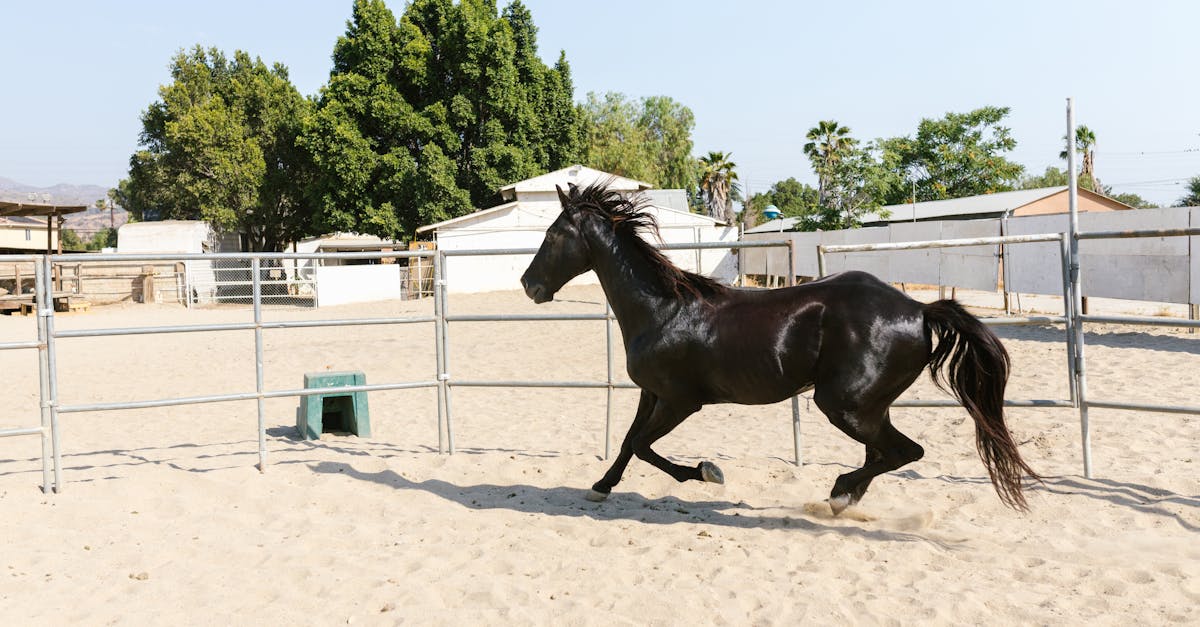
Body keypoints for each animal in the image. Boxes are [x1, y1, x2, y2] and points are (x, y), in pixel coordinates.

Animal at [519, 181, 1040, 514]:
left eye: (552, 234)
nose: (529, 285)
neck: (662, 309)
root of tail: (919, 309)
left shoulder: (681, 400)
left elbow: (646, 446)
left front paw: (708, 472)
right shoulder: (652, 394)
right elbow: (629, 442)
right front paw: (599, 488)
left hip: (844, 405)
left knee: (903, 452)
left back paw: (838, 495)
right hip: (869, 407)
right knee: (884, 454)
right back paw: (845, 497)